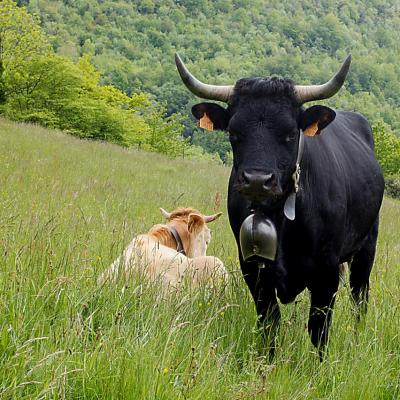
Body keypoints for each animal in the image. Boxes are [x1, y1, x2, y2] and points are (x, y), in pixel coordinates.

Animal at [175, 53, 384, 356]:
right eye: (234, 133)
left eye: (290, 133)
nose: (256, 180)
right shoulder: (253, 268)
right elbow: (269, 321)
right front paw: (267, 360)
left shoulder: (327, 271)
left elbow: (319, 329)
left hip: (367, 248)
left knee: (360, 297)